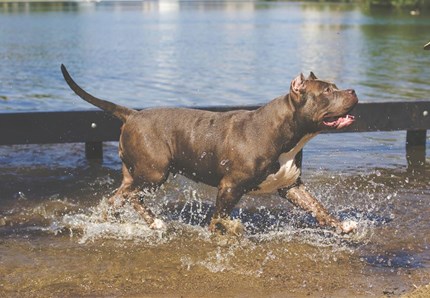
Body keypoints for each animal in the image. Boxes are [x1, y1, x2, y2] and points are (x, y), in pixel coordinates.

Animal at [60, 66, 356, 235]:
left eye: (336, 87)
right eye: (327, 91)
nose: (353, 90)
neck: (287, 132)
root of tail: (132, 114)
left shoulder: (291, 185)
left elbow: (318, 208)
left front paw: (342, 226)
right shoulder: (229, 186)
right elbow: (220, 217)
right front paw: (224, 232)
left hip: (137, 174)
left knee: (119, 197)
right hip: (154, 173)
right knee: (131, 196)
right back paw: (152, 222)